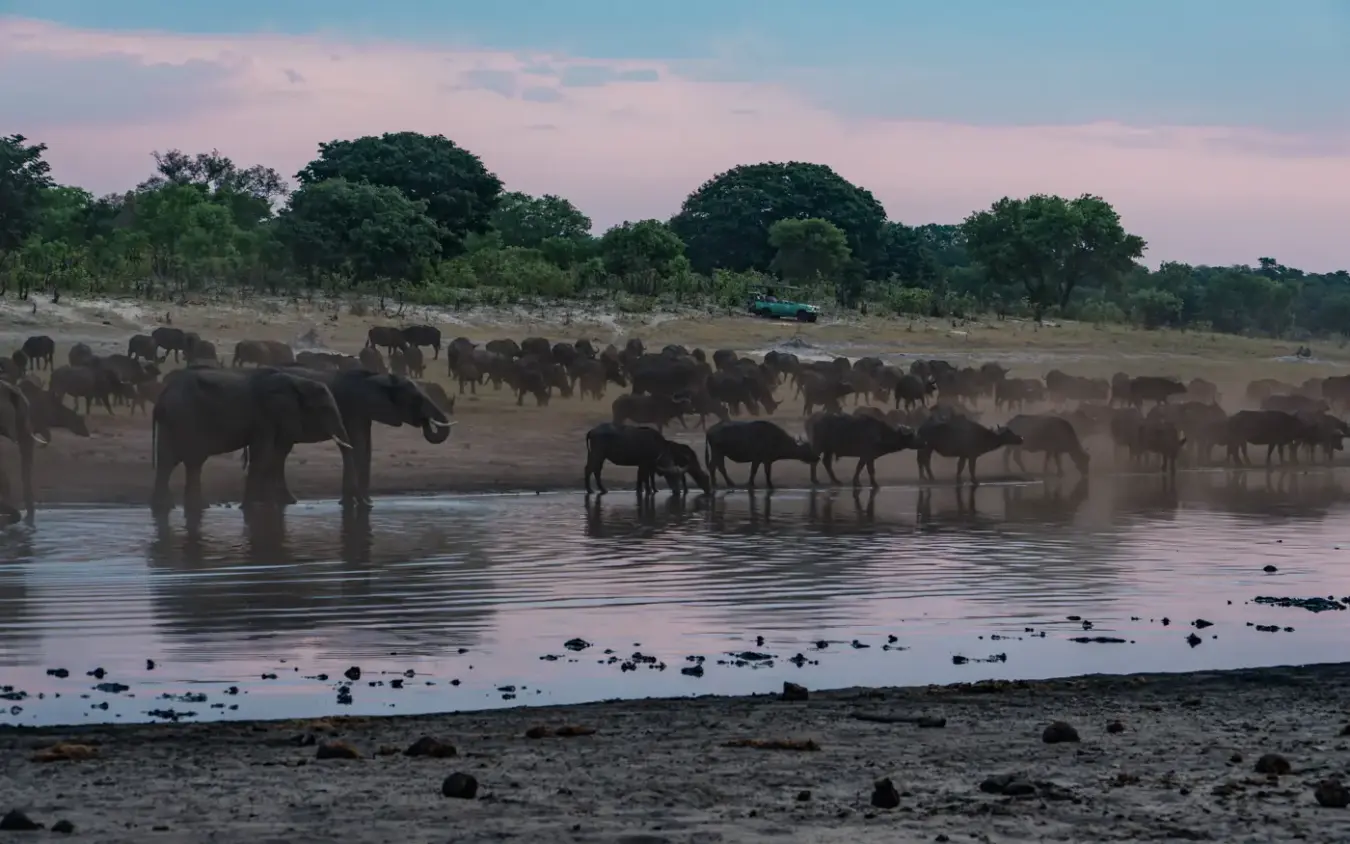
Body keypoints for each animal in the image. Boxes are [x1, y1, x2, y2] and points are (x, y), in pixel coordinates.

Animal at [150, 366, 353, 514]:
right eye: (325, 408)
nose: (342, 502)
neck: (296, 381)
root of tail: (162, 398)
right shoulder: (265, 418)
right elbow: (263, 456)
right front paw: (249, 509)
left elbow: (274, 456)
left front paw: (277, 505)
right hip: (185, 418)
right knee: (189, 461)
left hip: (173, 421)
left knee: (171, 462)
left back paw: (171, 508)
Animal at [258, 367, 455, 507]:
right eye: (416, 398)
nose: (426, 421)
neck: (378, 378)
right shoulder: (354, 407)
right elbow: (359, 444)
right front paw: (356, 503)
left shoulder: (364, 411)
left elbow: (366, 447)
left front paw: (366, 504)